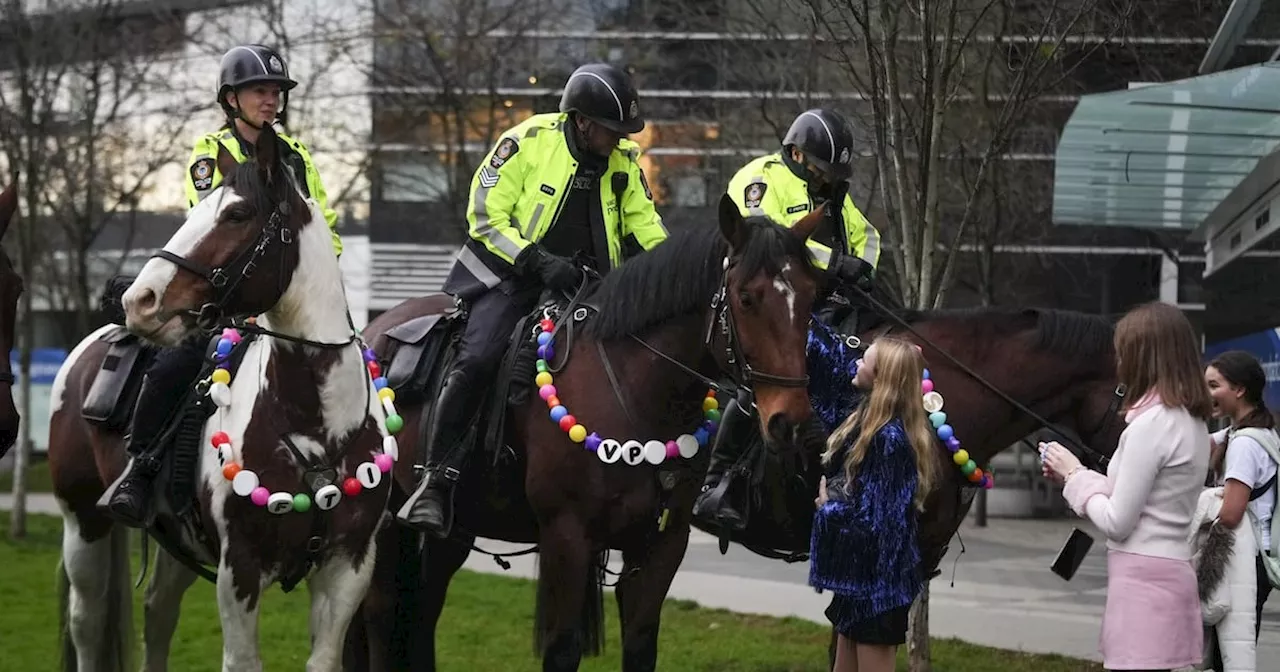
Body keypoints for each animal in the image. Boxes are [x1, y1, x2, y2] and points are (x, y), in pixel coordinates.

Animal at [47, 125, 391, 670]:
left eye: (236, 215)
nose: (139, 301)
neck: (314, 428)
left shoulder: (348, 567)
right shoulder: (240, 571)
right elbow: (242, 660)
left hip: (175, 541)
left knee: (158, 612)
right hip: (83, 523)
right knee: (87, 622)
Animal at [345, 197, 824, 665]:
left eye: (811, 297)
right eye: (746, 298)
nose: (790, 421)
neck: (634, 391)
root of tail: (373, 328)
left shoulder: (662, 545)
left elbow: (640, 644)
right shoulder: (567, 537)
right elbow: (562, 647)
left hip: (454, 531)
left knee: (422, 613)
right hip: (386, 527)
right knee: (381, 617)